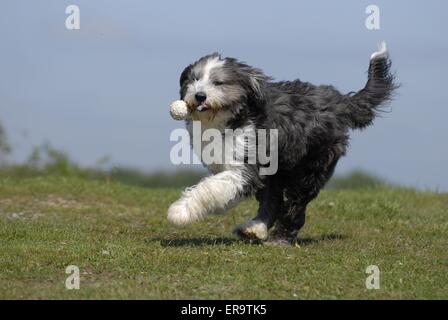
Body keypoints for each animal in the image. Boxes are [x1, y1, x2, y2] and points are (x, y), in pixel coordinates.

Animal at [167, 42, 396, 245]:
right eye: (195, 78)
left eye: (218, 82)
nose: (199, 95)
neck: (234, 118)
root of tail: (340, 103)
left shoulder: (245, 165)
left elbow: (209, 187)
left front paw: (180, 211)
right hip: (278, 169)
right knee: (273, 200)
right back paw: (254, 229)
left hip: (311, 166)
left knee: (295, 204)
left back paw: (280, 237)